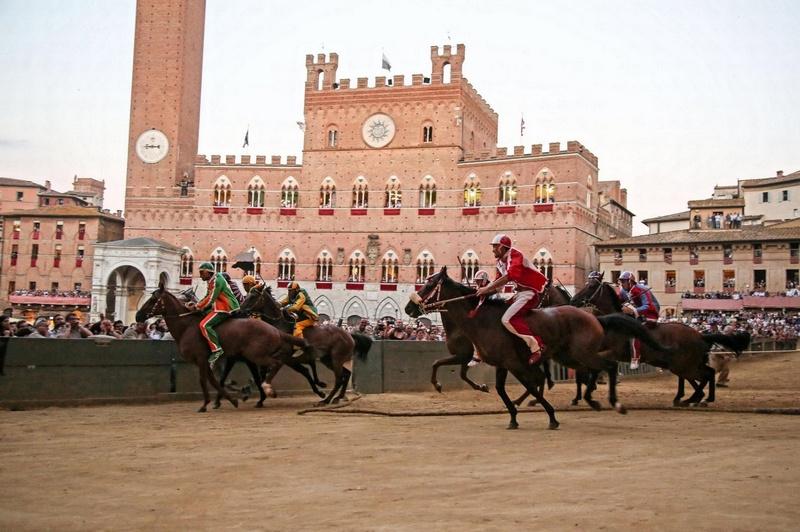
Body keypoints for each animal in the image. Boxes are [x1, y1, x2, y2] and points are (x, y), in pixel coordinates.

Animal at [137, 282, 304, 412]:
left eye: (153, 299)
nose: (138, 316)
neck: (187, 327)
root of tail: (274, 329)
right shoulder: (211, 360)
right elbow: (216, 380)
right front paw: (230, 400)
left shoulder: (202, 358)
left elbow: (205, 380)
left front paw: (206, 404)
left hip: (257, 356)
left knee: (276, 364)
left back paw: (268, 389)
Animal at [239, 284, 374, 406]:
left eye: (253, 296)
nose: (240, 310)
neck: (279, 326)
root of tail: (349, 335)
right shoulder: (283, 360)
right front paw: (260, 399)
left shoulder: (284, 358)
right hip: (327, 359)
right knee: (345, 375)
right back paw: (337, 397)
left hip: (337, 359)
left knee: (339, 379)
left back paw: (326, 400)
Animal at [576, 276, 752, 406]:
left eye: (591, 285)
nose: (574, 300)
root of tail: (701, 335)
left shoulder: (612, 352)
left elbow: (595, 367)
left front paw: (588, 391)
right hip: (684, 365)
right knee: (705, 374)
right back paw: (698, 398)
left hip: (683, 365)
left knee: (706, 375)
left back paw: (694, 399)